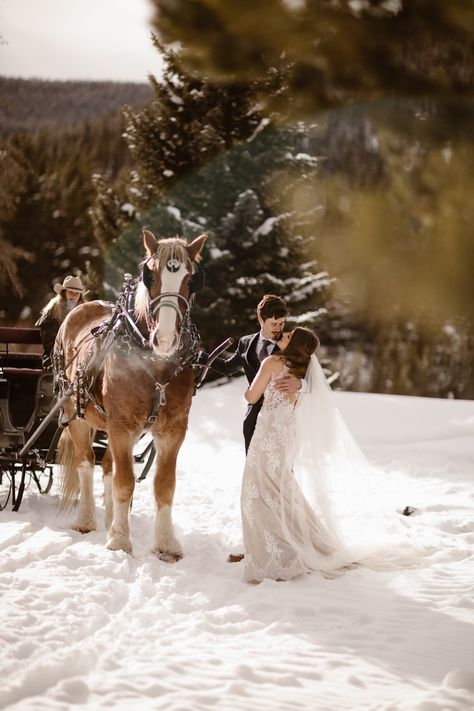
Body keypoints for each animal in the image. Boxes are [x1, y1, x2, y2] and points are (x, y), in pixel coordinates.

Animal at [55, 231, 206, 560]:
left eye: (191, 279)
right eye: (150, 276)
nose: (165, 338)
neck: (155, 363)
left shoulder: (173, 430)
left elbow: (164, 485)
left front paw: (165, 543)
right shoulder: (122, 426)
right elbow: (125, 483)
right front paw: (120, 542)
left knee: (108, 467)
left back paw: (112, 520)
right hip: (76, 412)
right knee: (86, 463)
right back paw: (87, 520)